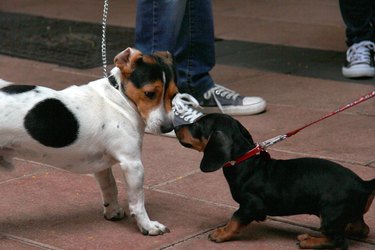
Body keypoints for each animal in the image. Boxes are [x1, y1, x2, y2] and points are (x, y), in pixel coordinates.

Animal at [0, 47, 178, 235]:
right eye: (149, 93)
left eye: (174, 95)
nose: (168, 128)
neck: (119, 98)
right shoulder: (133, 164)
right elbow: (138, 202)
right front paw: (147, 226)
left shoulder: (102, 165)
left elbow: (110, 186)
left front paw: (112, 211)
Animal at [176, 114, 375, 249]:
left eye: (198, 124)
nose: (175, 126)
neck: (245, 162)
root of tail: (364, 184)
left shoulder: (251, 204)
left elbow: (235, 218)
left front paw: (222, 233)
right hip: (343, 214)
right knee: (361, 229)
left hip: (330, 212)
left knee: (339, 242)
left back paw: (309, 241)